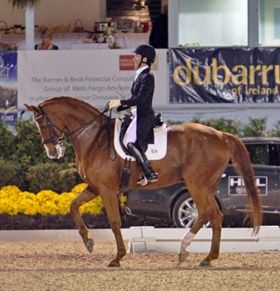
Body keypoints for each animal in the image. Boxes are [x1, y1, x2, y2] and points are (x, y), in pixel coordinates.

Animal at [24, 97, 262, 270]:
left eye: (43, 123)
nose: (52, 153)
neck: (92, 138)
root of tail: (221, 135)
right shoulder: (95, 187)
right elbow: (73, 206)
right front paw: (88, 242)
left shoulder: (107, 190)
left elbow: (114, 222)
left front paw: (117, 258)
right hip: (206, 186)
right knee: (213, 215)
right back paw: (203, 256)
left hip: (197, 184)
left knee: (207, 213)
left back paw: (188, 251)